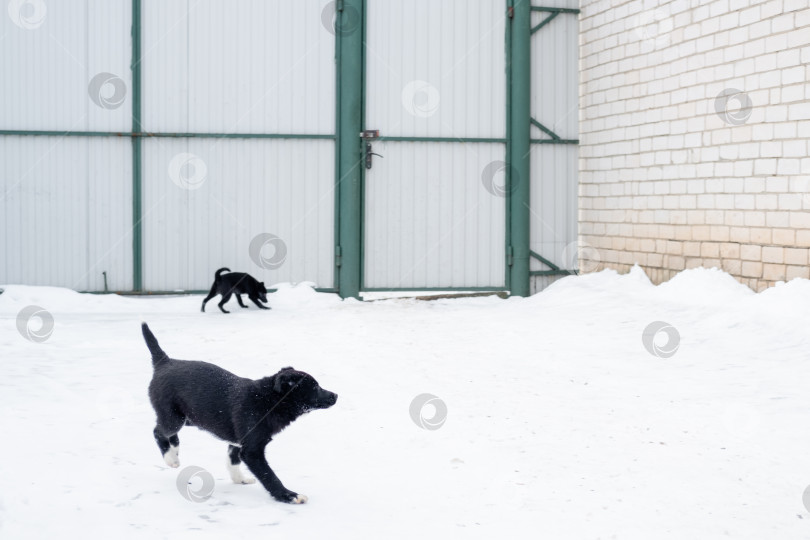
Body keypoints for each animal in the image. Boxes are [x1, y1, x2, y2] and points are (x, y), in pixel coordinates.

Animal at [140, 322, 336, 504]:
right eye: (315, 387)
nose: (336, 395)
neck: (268, 400)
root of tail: (165, 362)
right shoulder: (252, 450)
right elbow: (269, 475)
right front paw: (288, 495)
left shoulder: (238, 441)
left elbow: (232, 459)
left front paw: (239, 479)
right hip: (174, 417)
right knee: (158, 431)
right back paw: (169, 458)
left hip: (188, 418)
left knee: (168, 432)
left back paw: (174, 451)